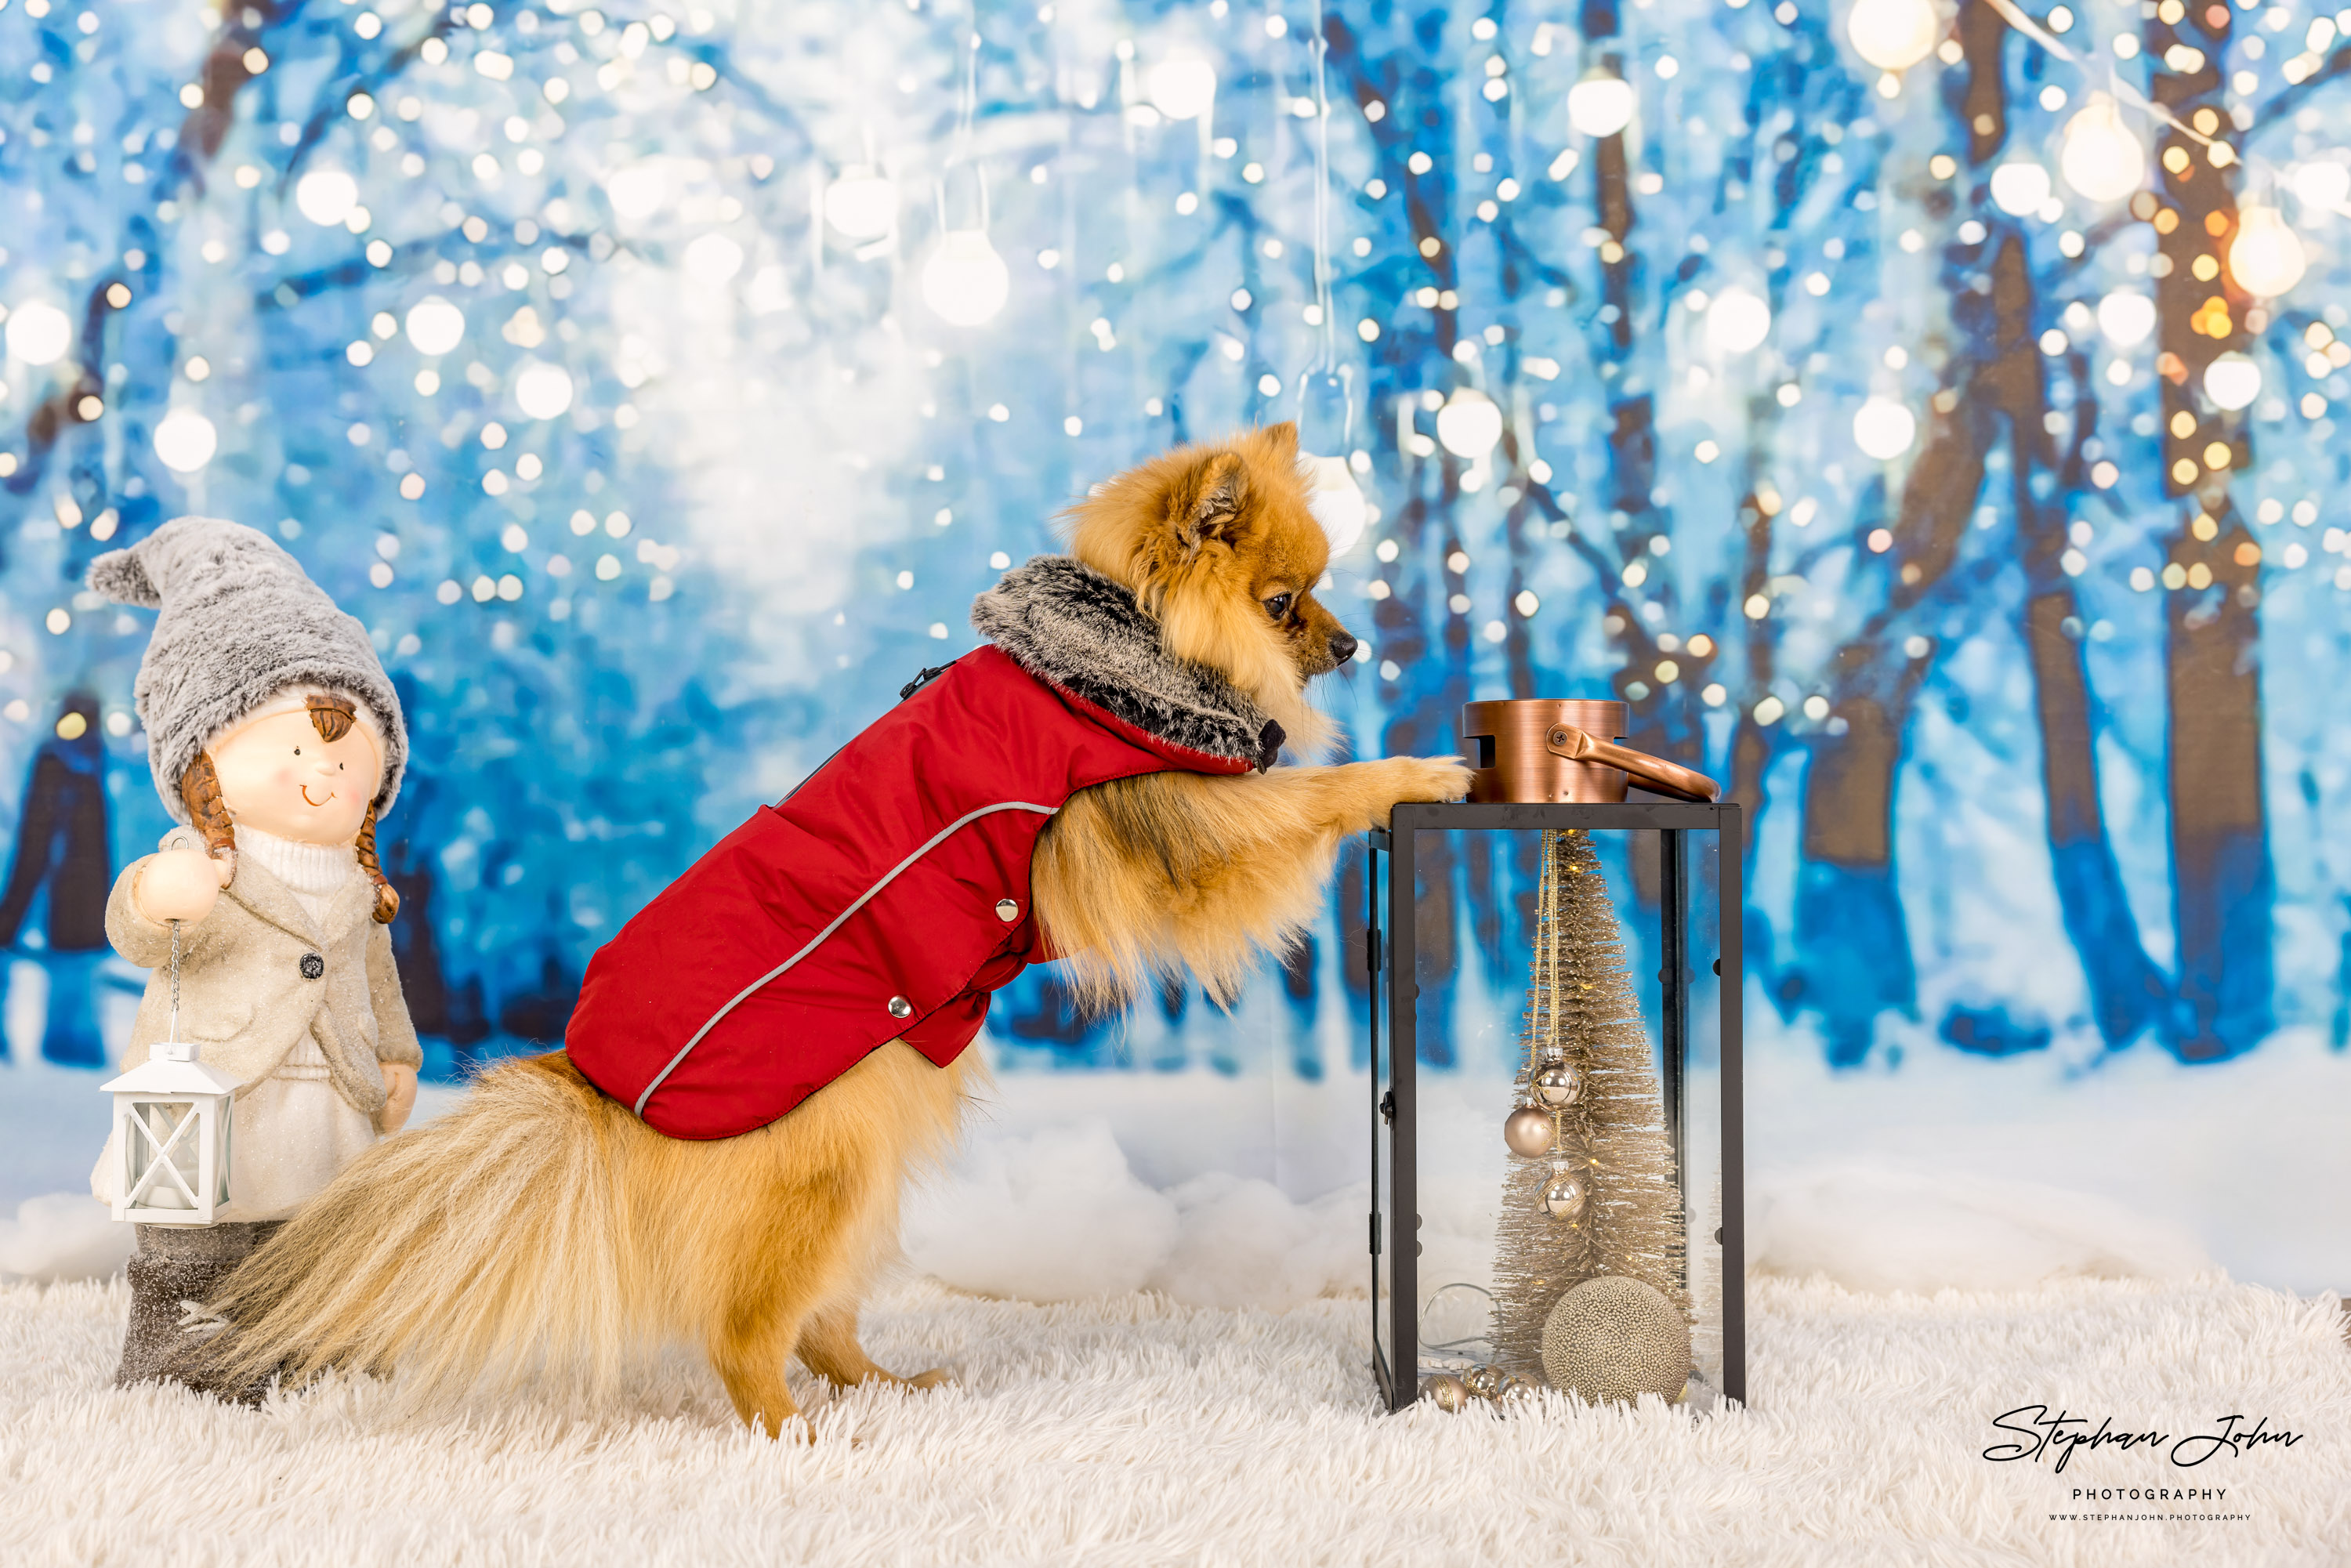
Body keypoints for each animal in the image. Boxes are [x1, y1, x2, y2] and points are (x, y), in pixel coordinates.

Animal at [197, 425, 1467, 1439]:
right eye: (1282, 602)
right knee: (745, 1333)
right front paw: (1416, 771)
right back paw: (795, 1432)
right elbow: (1312, 795)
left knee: (820, 1323)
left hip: (864, 1168)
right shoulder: (1181, 822)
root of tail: (590, 1087)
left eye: (1321, 594)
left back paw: (885, 1387)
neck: (1110, 662)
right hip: (823, 1168)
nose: (1352, 647)